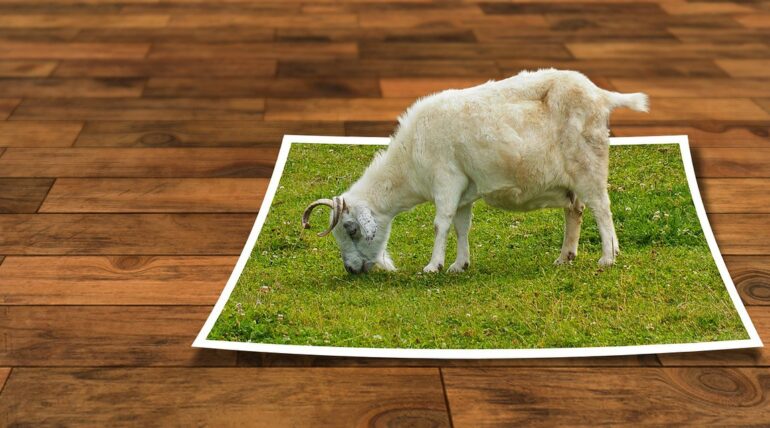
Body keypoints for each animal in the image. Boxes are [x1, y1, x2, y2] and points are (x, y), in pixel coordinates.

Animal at [302, 69, 648, 274]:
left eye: (351, 229)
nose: (351, 269)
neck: (410, 160)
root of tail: (601, 95)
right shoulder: (464, 191)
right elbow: (461, 227)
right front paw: (459, 264)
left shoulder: (446, 178)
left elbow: (440, 224)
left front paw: (433, 265)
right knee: (575, 211)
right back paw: (565, 257)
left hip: (588, 163)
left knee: (601, 208)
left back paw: (608, 256)